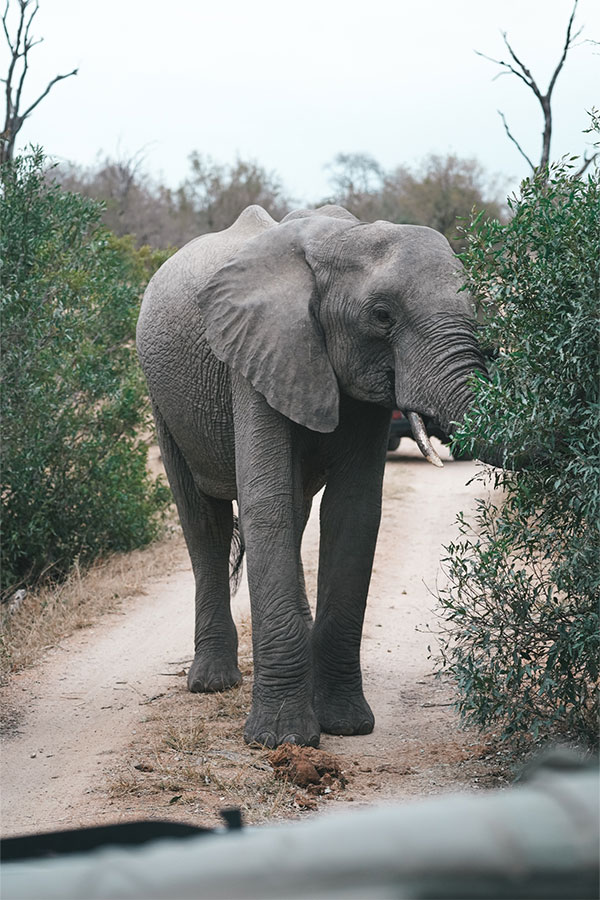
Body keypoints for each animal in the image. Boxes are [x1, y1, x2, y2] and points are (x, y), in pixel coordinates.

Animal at [138, 204, 490, 744]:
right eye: (382, 316)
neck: (340, 241)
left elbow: (354, 513)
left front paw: (346, 726)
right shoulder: (253, 353)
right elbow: (266, 504)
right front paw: (281, 739)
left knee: (296, 511)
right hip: (162, 399)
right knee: (204, 523)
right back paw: (212, 682)